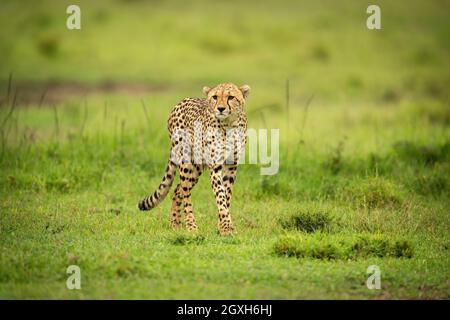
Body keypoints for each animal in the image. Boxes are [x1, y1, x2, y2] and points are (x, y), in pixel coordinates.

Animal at [137, 82, 250, 235]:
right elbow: (220, 196)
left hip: (196, 167)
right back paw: (191, 226)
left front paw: (222, 227)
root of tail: (180, 102)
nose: (220, 108)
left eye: (231, 97)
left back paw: (175, 224)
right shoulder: (215, 166)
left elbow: (226, 195)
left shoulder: (232, 165)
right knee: (185, 192)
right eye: (215, 97)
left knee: (178, 189)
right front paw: (226, 227)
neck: (228, 124)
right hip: (186, 162)